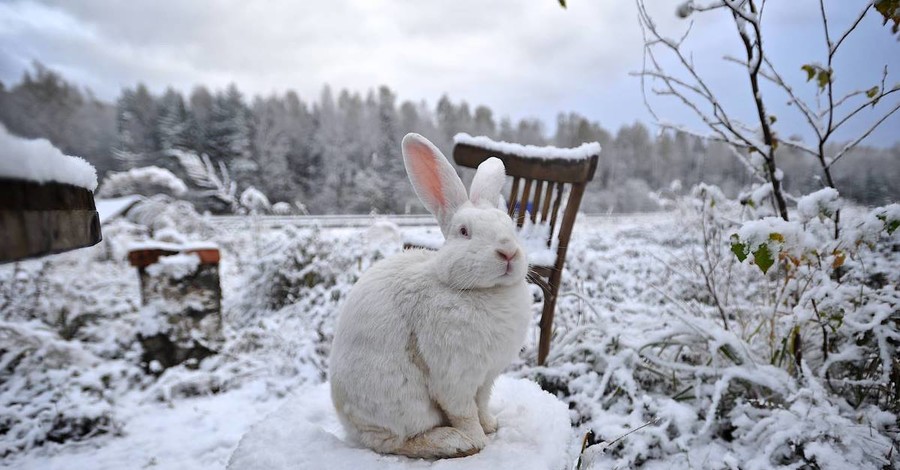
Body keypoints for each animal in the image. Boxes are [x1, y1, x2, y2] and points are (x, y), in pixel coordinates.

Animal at [328, 132, 528, 458]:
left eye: (510, 226)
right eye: (464, 231)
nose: (508, 252)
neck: (480, 292)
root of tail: (349, 425)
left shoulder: (485, 379)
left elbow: (482, 404)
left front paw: (491, 425)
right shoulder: (454, 378)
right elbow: (464, 413)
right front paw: (479, 441)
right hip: (403, 403)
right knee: (396, 441)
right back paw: (453, 442)